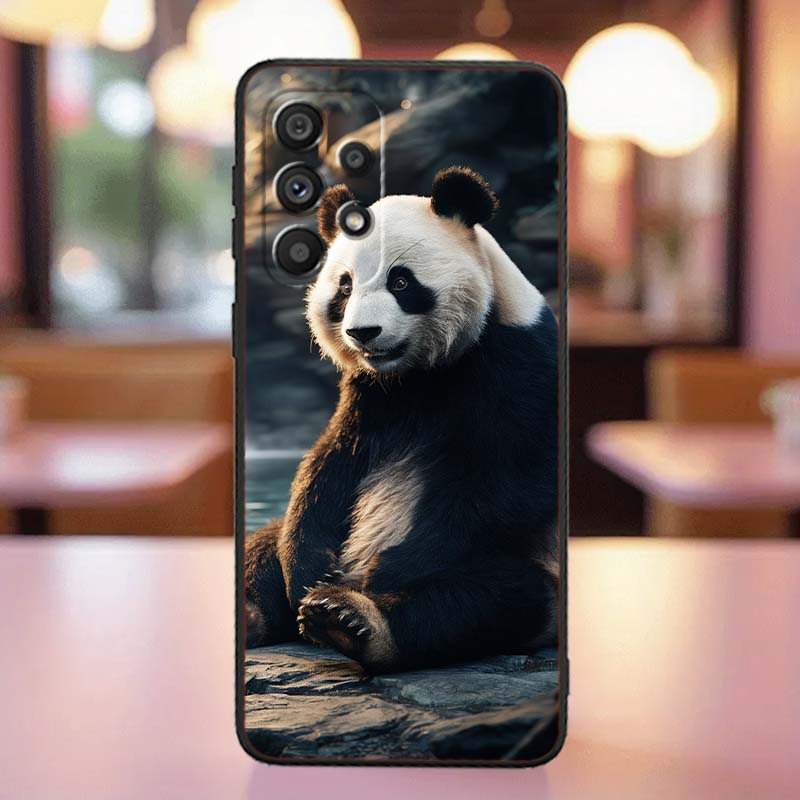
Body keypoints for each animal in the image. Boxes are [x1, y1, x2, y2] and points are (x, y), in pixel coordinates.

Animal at [244, 167, 559, 674]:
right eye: (345, 286)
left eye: (401, 282)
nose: (363, 333)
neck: (419, 373)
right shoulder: (368, 395)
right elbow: (329, 463)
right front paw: (311, 567)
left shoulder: (522, 366)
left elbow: (507, 482)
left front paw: (388, 569)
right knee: (265, 544)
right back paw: (261, 609)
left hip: (534, 569)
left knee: (490, 599)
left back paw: (352, 618)